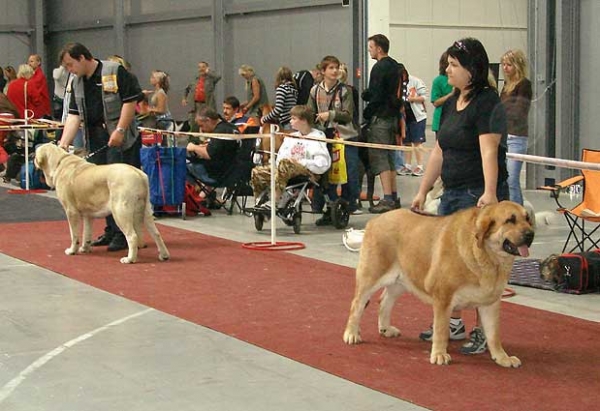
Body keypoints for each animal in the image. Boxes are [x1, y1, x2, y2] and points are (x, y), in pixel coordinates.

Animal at [34, 143, 170, 266]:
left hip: (120, 211)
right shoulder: (88, 215)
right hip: (145, 211)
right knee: (156, 234)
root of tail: (138, 173)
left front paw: (72, 250)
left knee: (132, 236)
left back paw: (130, 259)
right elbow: (87, 233)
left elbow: (74, 235)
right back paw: (164, 255)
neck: (60, 162)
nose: (31, 156)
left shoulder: (71, 211)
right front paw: (85, 248)